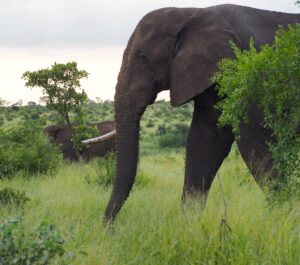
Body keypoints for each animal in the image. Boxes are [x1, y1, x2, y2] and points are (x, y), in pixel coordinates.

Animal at [85, 4, 300, 223]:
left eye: (143, 58)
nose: (108, 227)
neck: (191, 12)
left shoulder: (250, 75)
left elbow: (255, 141)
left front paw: (282, 218)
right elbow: (204, 139)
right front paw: (190, 225)